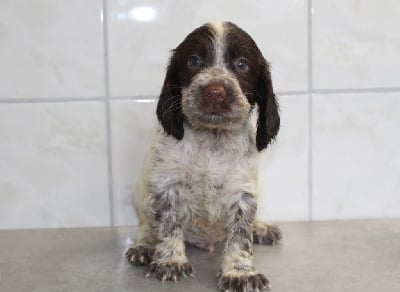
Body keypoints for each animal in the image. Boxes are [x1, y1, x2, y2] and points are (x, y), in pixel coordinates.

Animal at [126, 21, 282, 292]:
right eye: (194, 61)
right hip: (141, 192)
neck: (212, 139)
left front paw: (239, 272)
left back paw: (261, 228)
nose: (215, 92)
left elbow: (241, 236)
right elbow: (167, 224)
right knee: (146, 224)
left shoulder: (243, 192)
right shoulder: (165, 185)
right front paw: (170, 261)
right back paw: (143, 247)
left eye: (242, 64)